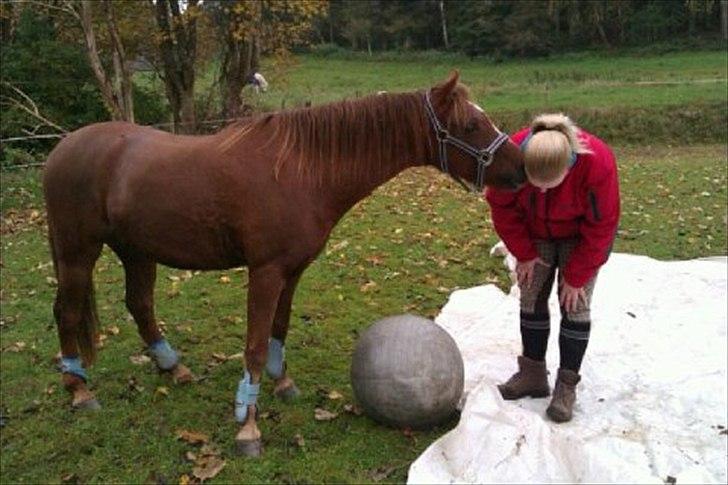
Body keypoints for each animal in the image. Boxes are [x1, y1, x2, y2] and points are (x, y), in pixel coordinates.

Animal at [44, 72, 524, 454]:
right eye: (470, 125)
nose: (520, 168)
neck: (301, 169)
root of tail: (63, 148)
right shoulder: (266, 271)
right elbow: (255, 344)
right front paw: (248, 423)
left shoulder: (292, 271)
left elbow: (280, 327)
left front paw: (282, 384)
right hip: (77, 253)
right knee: (67, 312)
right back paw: (79, 389)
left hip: (136, 251)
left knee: (140, 303)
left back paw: (172, 366)